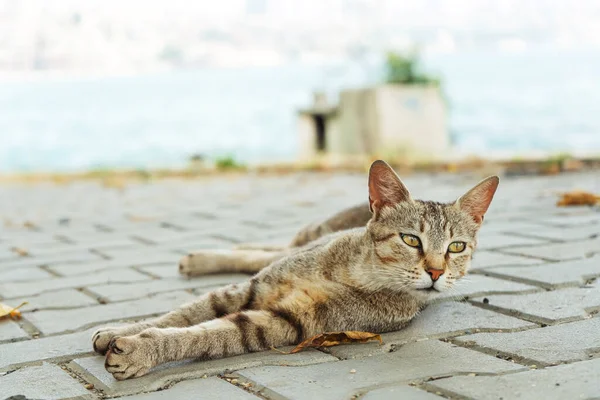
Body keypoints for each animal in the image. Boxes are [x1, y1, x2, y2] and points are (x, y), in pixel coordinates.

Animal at [92, 158, 496, 380]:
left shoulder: (288, 322)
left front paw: (140, 350)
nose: (436, 273)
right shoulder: (250, 288)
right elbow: (182, 314)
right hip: (308, 238)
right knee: (274, 250)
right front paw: (121, 329)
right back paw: (207, 256)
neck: (353, 271)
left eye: (456, 247)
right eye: (411, 240)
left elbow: (204, 333)